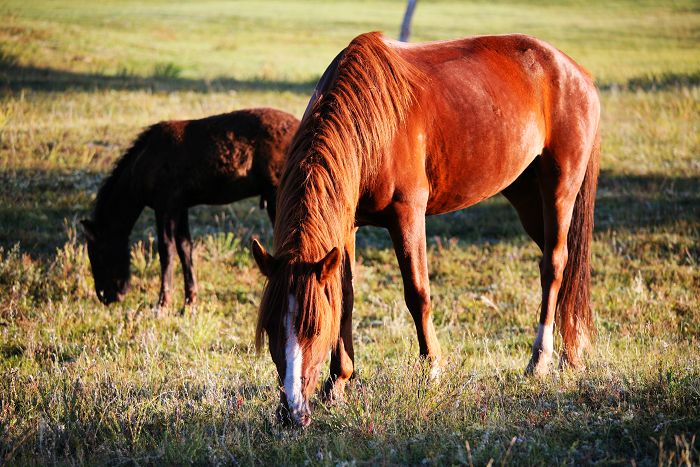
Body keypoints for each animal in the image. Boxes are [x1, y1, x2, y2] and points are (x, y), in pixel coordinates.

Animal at [82, 107, 298, 308]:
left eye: (98, 254)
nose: (106, 296)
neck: (142, 163)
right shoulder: (180, 206)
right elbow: (185, 247)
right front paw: (189, 301)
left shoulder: (165, 205)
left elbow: (166, 250)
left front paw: (163, 303)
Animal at [249, 33, 600, 428]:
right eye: (271, 327)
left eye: (314, 329)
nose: (291, 411)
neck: (371, 121)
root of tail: (575, 72)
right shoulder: (347, 225)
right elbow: (345, 297)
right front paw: (337, 383)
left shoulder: (408, 213)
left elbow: (418, 294)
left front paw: (431, 370)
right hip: (525, 194)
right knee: (565, 266)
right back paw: (572, 351)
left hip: (559, 188)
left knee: (555, 265)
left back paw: (541, 359)